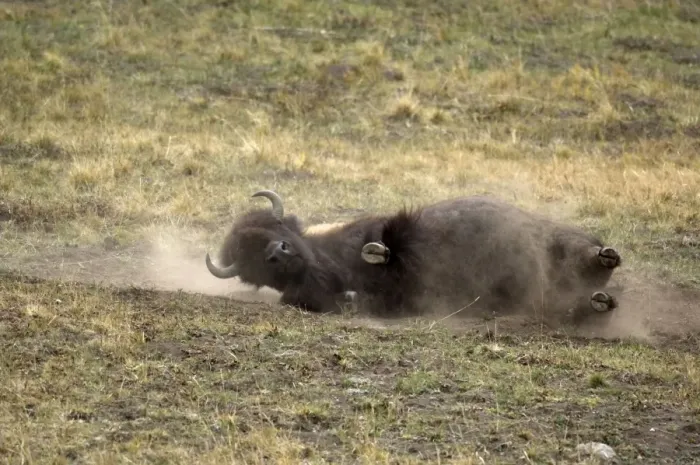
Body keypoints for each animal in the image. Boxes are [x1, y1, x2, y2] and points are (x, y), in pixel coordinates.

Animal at [205, 189, 622, 322]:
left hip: (550, 237)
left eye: (277, 229)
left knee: (582, 252)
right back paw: (599, 299)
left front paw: (376, 251)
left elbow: (389, 241)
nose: (278, 254)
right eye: (248, 262)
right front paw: (355, 294)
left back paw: (605, 257)